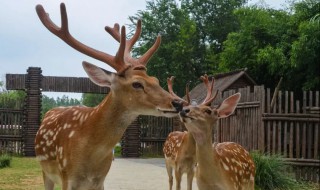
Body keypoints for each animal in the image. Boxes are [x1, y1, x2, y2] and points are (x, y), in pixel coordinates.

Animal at [34, 3, 182, 190]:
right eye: (137, 84)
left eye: (155, 79)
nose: (178, 102)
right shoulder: (67, 177)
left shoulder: (100, 180)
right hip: (46, 172)